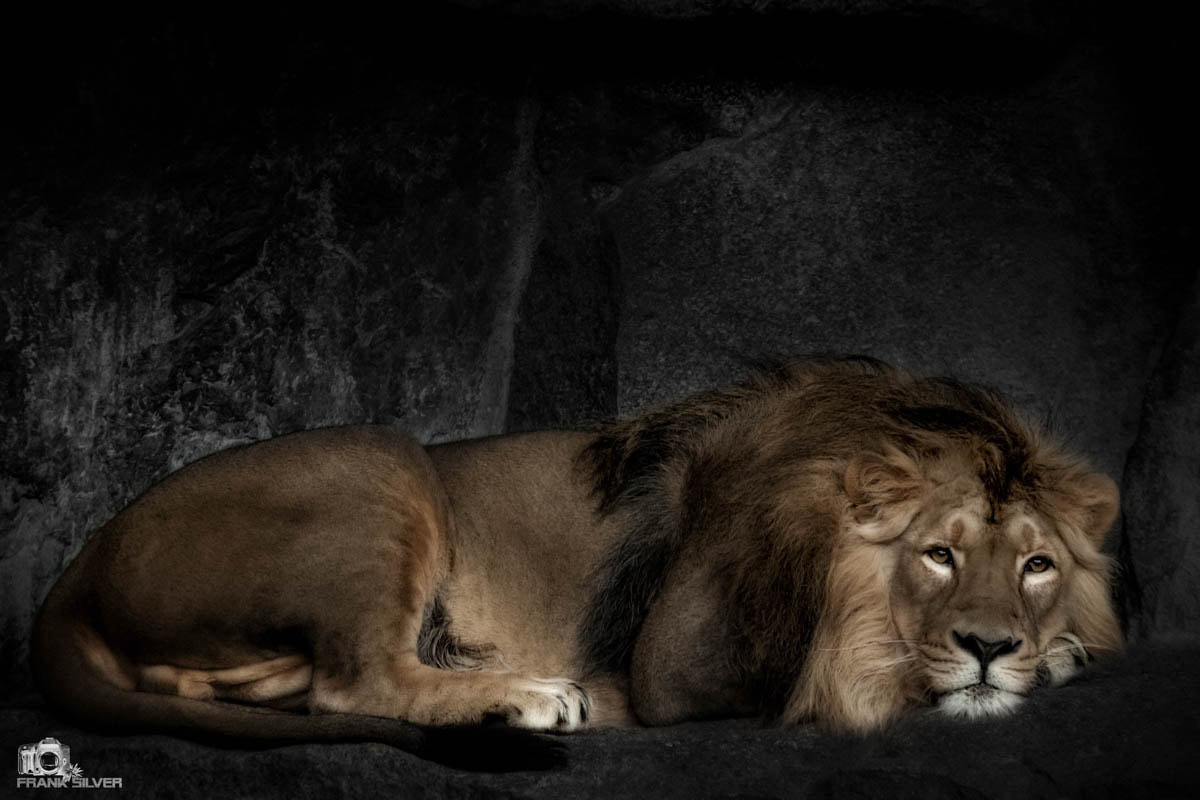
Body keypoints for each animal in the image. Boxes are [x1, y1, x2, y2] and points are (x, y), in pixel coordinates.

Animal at [31, 358, 1122, 762]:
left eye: (1036, 566)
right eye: (936, 554)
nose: (991, 645)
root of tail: (81, 559)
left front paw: (1057, 651)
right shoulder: (673, 663)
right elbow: (840, 671)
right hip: (380, 460)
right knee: (356, 683)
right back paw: (527, 696)